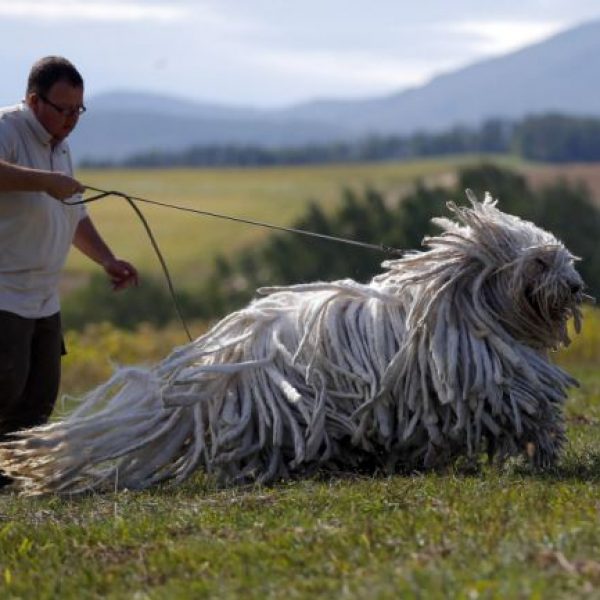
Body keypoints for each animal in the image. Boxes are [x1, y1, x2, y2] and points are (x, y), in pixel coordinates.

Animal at [0, 191, 588, 492]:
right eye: (540, 261)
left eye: (561, 256)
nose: (577, 286)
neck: (463, 302)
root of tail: (215, 358)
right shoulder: (490, 381)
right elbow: (529, 409)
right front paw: (544, 451)